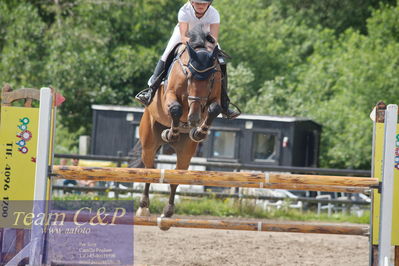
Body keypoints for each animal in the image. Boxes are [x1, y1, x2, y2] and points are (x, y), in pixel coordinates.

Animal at [136, 26, 223, 223]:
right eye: (189, 76)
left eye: (211, 79)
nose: (194, 118)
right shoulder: (170, 95)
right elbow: (175, 108)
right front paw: (172, 133)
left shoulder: (214, 97)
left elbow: (214, 108)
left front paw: (199, 132)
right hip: (149, 143)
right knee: (149, 170)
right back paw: (143, 207)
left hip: (185, 153)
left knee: (177, 176)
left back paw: (168, 211)